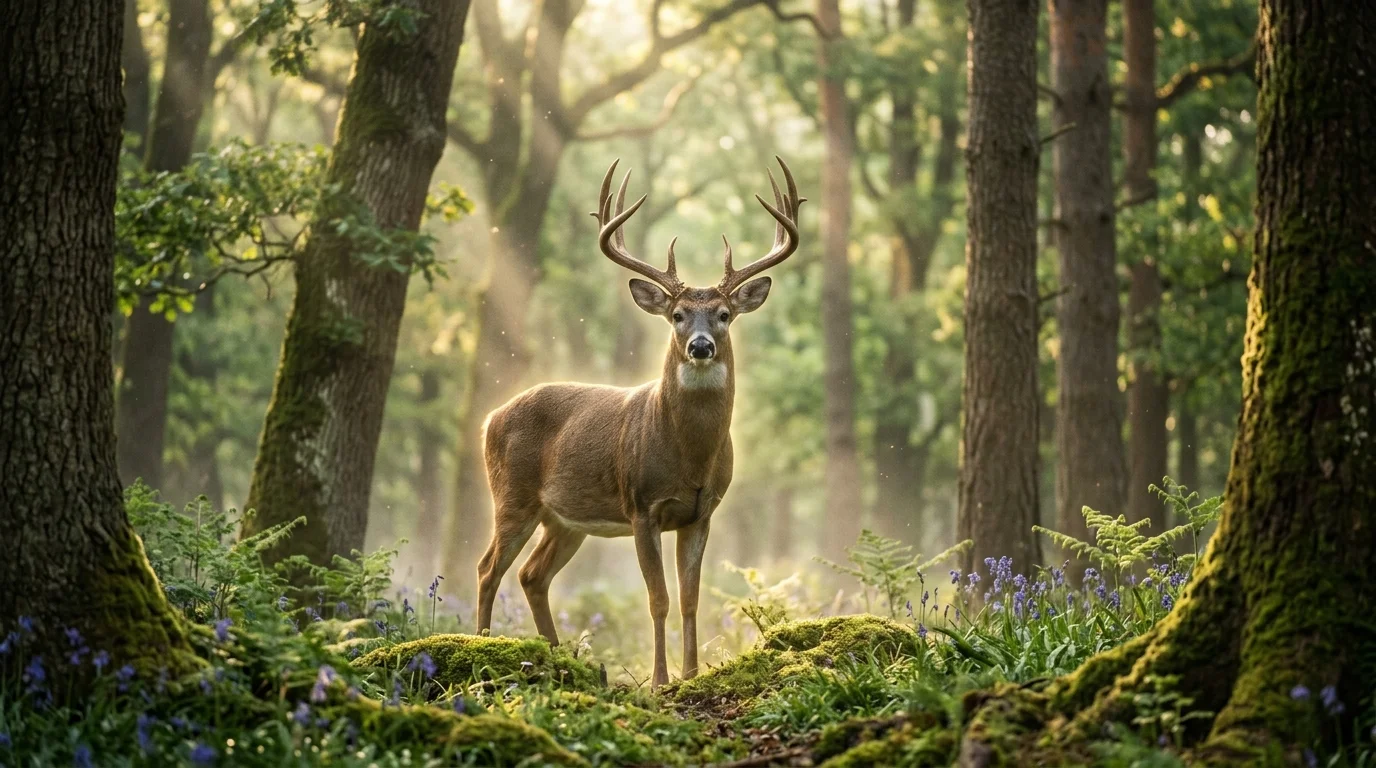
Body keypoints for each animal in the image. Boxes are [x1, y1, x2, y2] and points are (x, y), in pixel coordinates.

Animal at [474, 157, 804, 688]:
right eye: (678, 314)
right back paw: (481, 646)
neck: (689, 457)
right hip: (512, 493)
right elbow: (658, 599)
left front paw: (690, 674)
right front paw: (660, 680)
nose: (700, 346)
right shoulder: (641, 506)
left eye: (724, 314)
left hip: (565, 518)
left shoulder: (702, 512)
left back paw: (557, 656)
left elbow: (690, 599)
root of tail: (489, 417)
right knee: (489, 568)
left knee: (532, 575)